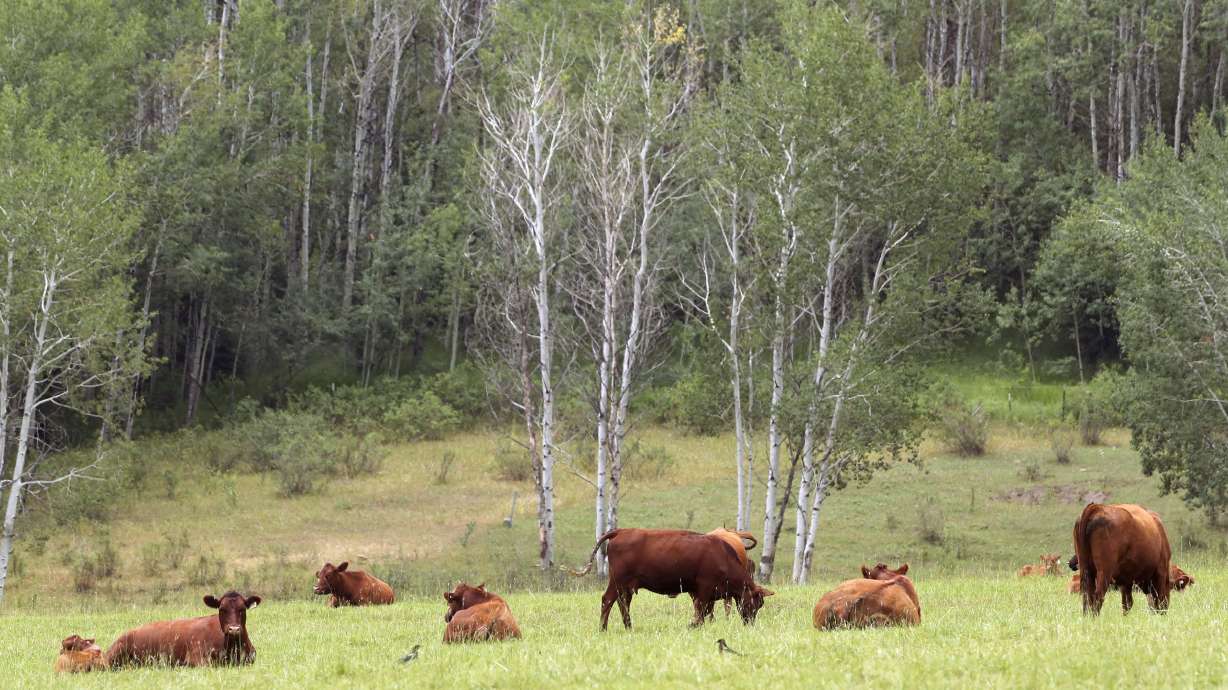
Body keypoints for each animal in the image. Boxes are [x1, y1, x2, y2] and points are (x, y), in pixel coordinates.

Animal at [568, 528, 774, 630]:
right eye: (756, 603)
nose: (750, 624)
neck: (722, 555)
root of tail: (622, 531)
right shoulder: (704, 588)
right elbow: (701, 610)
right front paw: (693, 625)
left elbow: (704, 611)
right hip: (618, 581)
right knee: (608, 600)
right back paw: (603, 628)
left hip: (625, 586)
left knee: (622, 603)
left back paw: (629, 627)